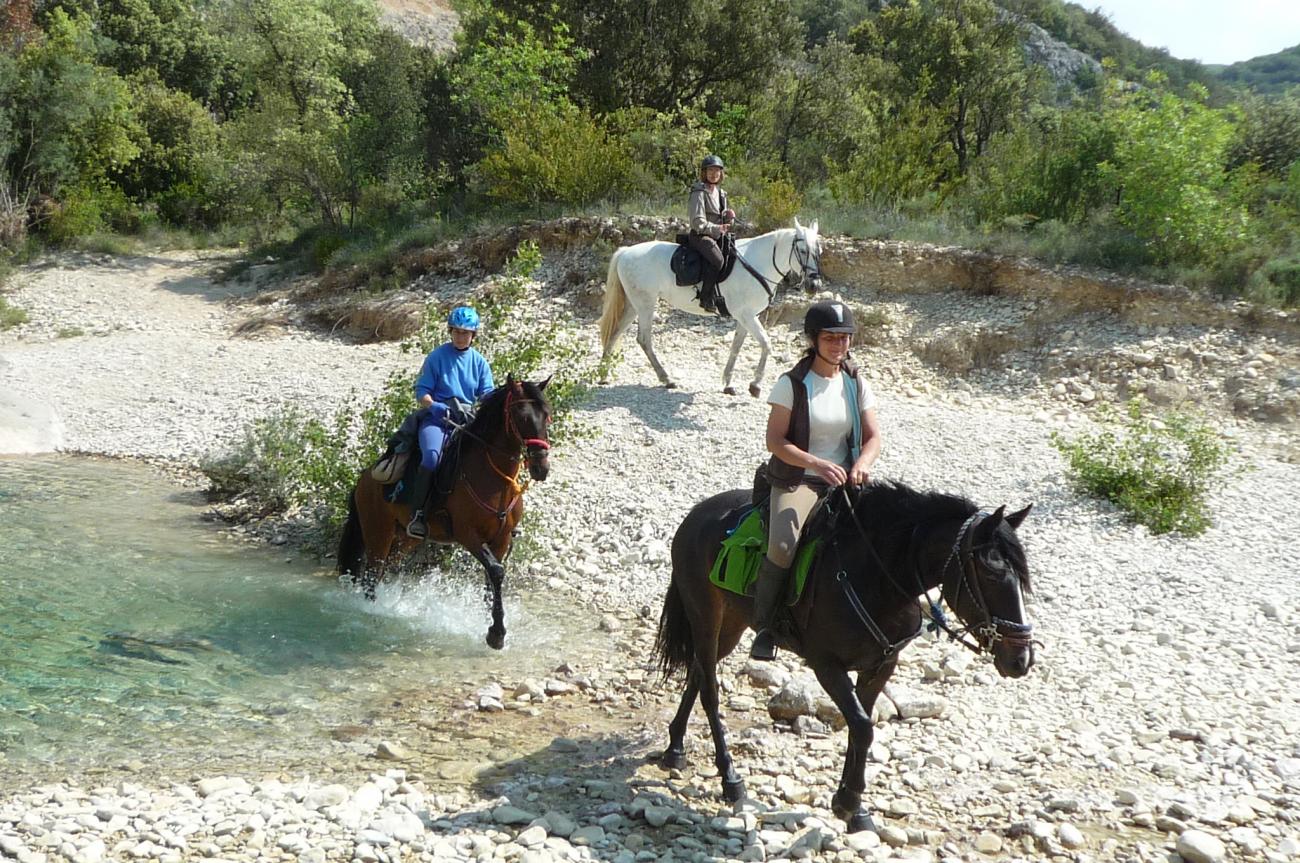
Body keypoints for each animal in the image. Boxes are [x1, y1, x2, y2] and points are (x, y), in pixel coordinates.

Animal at [335, 374, 548, 649]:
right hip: (378, 534)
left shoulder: (501, 539)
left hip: (405, 540)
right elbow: (496, 572)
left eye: (546, 415)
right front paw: (496, 634)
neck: (492, 478)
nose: (541, 467)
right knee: (371, 576)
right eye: (521, 416)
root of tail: (364, 479)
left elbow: (492, 580)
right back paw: (372, 614)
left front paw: (489, 624)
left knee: (384, 571)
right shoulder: (468, 535)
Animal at [598, 217, 821, 395]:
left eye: (819, 251)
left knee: (615, 332)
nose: (814, 285)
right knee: (644, 339)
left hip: (634, 305)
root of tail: (626, 251)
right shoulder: (746, 315)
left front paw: (728, 383)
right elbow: (766, 343)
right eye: (802, 250)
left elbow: (736, 347)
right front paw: (755, 385)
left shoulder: (746, 317)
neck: (757, 263)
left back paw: (603, 375)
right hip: (645, 304)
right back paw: (666, 379)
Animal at [655, 480, 1040, 831]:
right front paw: (849, 801)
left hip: (732, 625)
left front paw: (853, 807)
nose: (1020, 660)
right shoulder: (827, 665)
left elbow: (861, 728)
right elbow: (863, 727)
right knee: (709, 691)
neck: (876, 581)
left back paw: (675, 748)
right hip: (705, 618)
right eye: (991, 573)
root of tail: (696, 514)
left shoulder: (881, 665)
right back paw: (730, 778)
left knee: (697, 674)